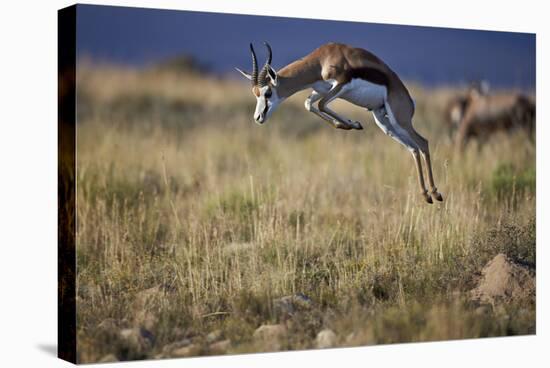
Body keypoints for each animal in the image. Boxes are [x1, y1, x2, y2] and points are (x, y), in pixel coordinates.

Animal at [237, 43, 444, 204]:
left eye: (268, 92)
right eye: (255, 93)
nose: (258, 118)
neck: (322, 60)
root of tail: (409, 99)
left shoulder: (340, 85)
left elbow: (321, 104)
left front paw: (353, 124)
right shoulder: (321, 89)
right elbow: (309, 104)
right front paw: (351, 124)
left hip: (399, 120)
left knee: (423, 142)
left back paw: (436, 193)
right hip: (384, 123)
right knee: (413, 148)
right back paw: (425, 195)